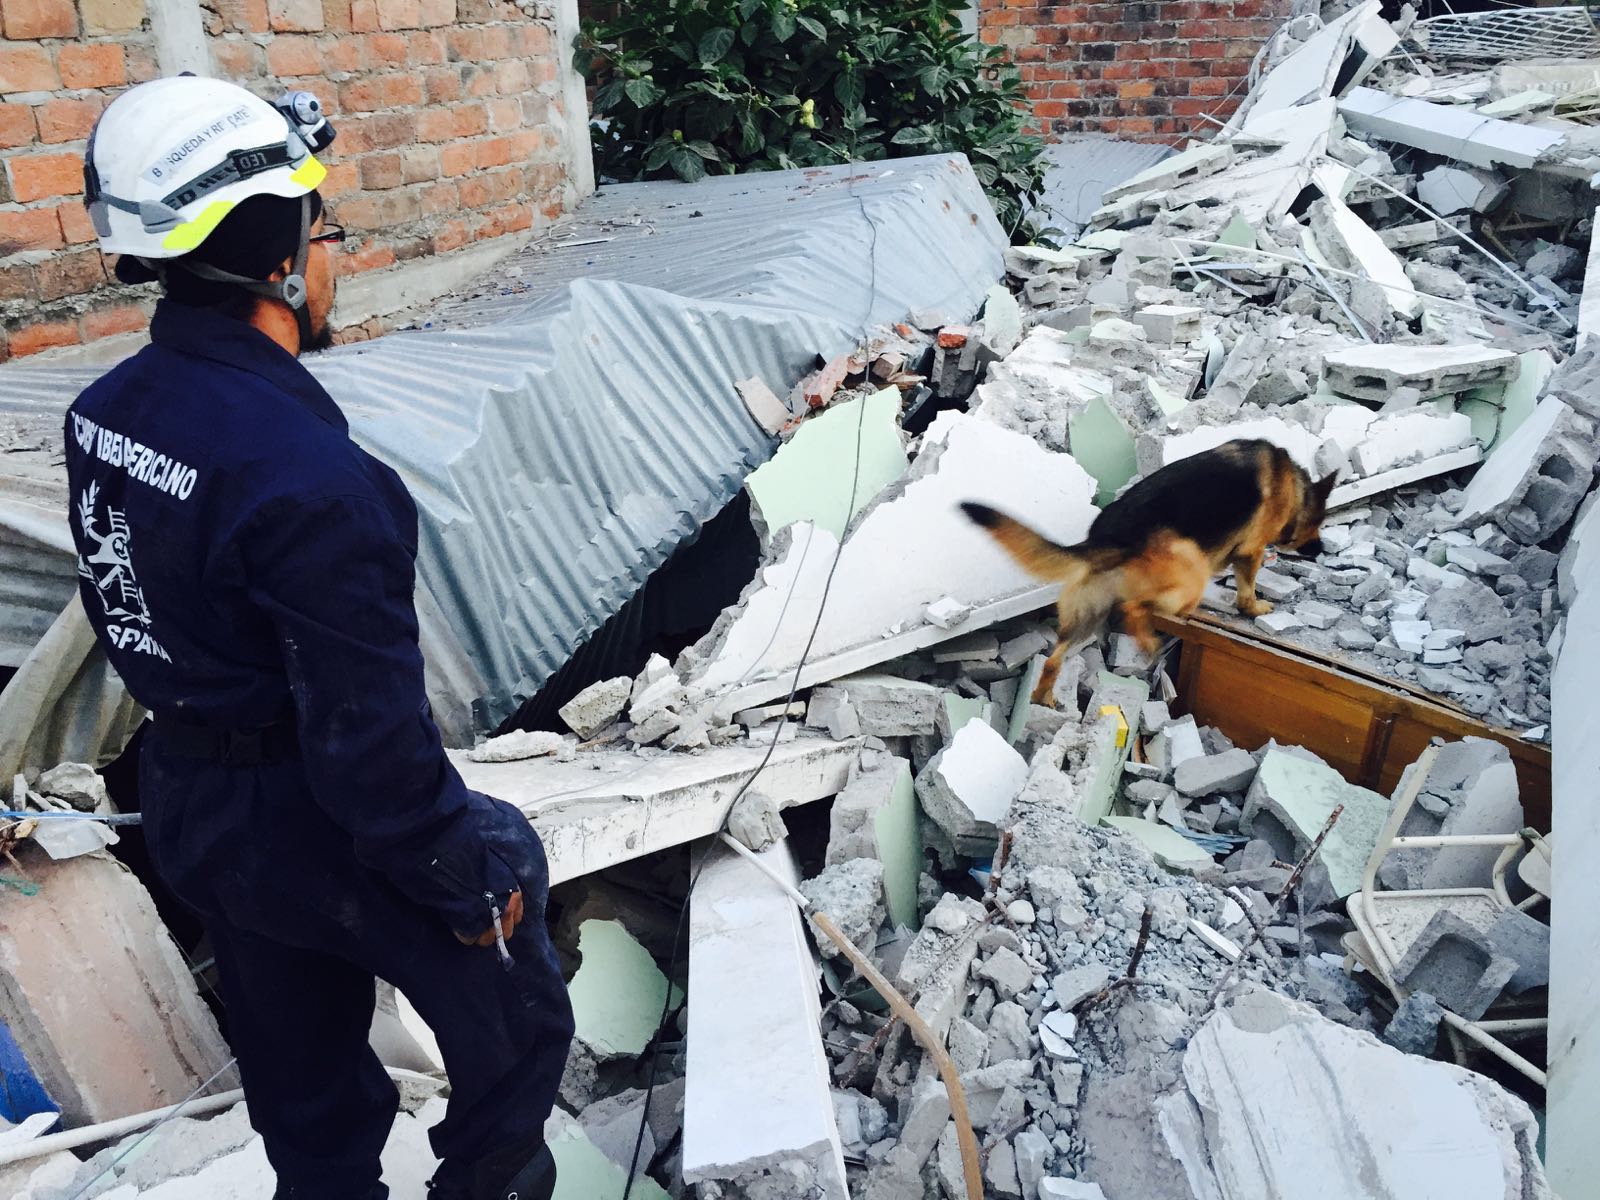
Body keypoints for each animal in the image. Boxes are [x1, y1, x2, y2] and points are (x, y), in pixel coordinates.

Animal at [960, 438, 1337, 704]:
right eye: (1319, 523)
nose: (1321, 550)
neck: (1296, 488)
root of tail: (1108, 536)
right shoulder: (1251, 552)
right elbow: (1248, 587)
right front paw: (1254, 607)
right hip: (1192, 569)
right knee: (1135, 608)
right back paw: (1154, 638)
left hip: (1086, 614)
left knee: (1055, 660)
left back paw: (1043, 698)